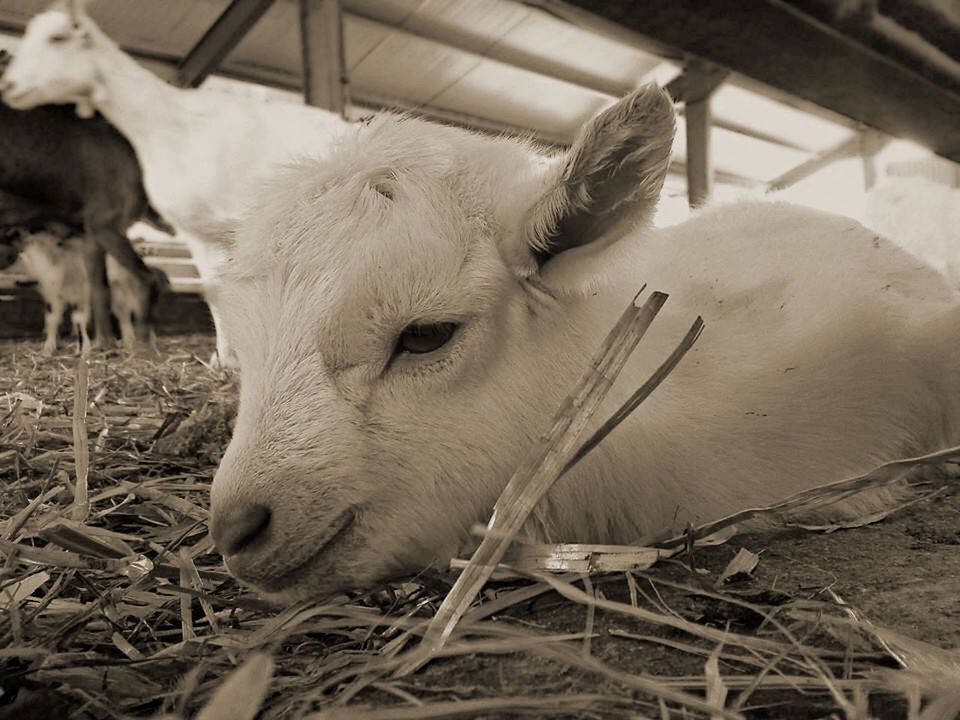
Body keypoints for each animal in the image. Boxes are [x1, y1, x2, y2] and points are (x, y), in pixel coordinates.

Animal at [0, 47, 167, 346]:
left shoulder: (92, 230)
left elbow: (99, 288)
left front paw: (105, 344)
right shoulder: (105, 223)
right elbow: (138, 280)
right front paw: (131, 342)